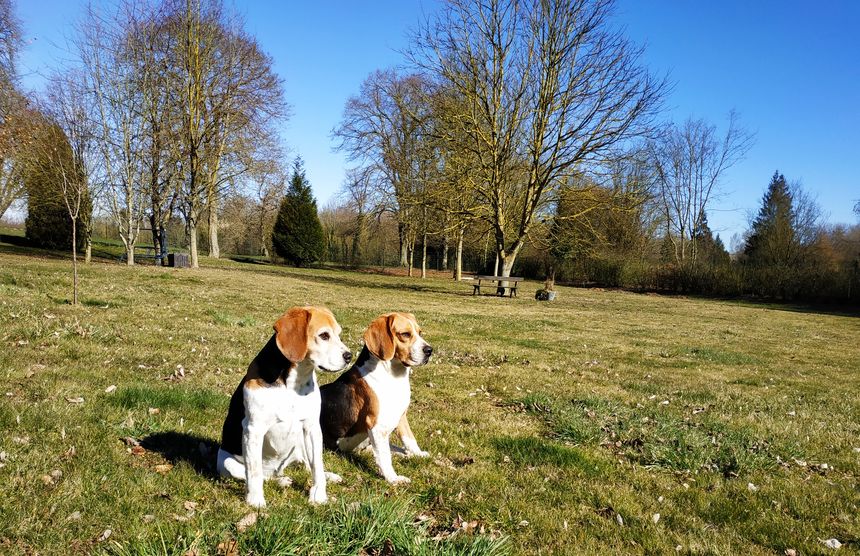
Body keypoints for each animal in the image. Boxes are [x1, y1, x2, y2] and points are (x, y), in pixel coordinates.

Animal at [218, 306, 352, 506]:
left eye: (339, 334)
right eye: (324, 335)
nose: (349, 356)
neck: (293, 383)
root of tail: (276, 470)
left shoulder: (312, 427)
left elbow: (317, 466)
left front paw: (319, 494)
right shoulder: (253, 429)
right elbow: (254, 473)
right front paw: (255, 500)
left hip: (300, 445)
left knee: (308, 466)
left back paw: (328, 476)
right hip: (228, 464)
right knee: (262, 475)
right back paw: (280, 481)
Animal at [320, 310, 434, 484]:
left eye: (420, 333)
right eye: (405, 334)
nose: (429, 350)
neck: (393, 376)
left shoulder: (401, 416)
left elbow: (409, 439)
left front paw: (418, 454)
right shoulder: (376, 425)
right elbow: (385, 457)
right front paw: (393, 479)